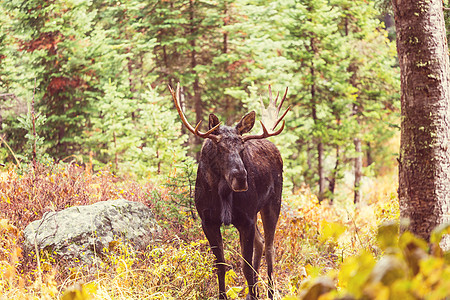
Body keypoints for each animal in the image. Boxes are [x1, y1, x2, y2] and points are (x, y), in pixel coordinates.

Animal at [168, 84, 288, 300]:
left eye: (242, 148)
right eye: (220, 147)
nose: (241, 178)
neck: (222, 194)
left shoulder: (246, 219)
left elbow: (245, 266)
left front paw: (254, 293)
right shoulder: (208, 221)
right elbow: (221, 265)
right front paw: (224, 295)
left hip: (273, 203)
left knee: (270, 247)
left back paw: (269, 292)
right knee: (261, 242)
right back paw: (253, 292)